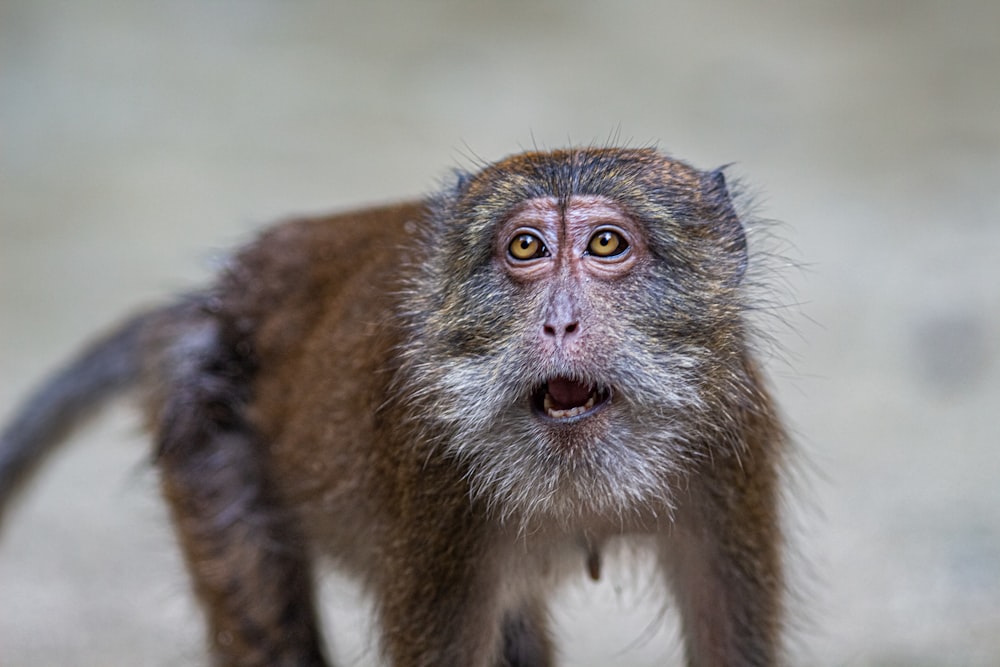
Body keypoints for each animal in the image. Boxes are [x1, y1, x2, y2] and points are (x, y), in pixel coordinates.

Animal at [1, 147, 788, 667]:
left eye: (605, 243)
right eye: (525, 247)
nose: (559, 322)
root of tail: (211, 306)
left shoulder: (731, 446)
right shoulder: (435, 479)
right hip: (205, 430)